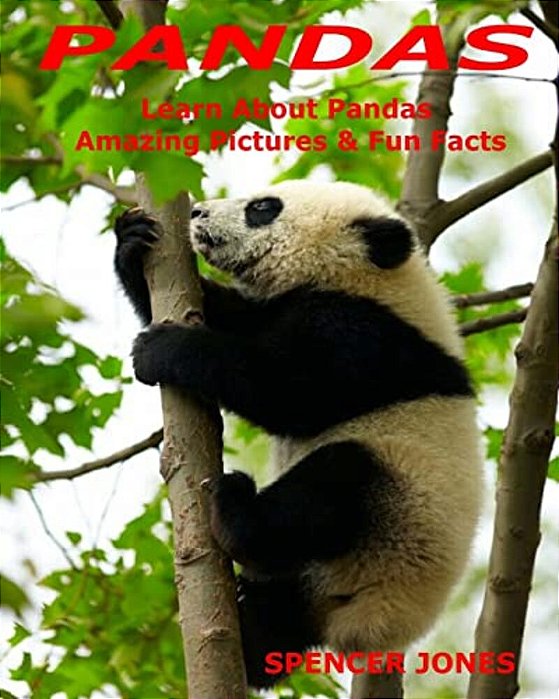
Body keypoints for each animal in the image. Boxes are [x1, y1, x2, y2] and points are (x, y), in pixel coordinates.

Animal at [114, 180, 483, 689]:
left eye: (263, 208)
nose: (197, 212)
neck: (367, 280)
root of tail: (371, 619)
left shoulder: (367, 337)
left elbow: (290, 392)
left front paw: (165, 349)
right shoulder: (282, 308)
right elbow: (229, 313)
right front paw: (132, 242)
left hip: (401, 508)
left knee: (330, 483)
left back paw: (236, 511)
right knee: (276, 625)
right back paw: (248, 639)